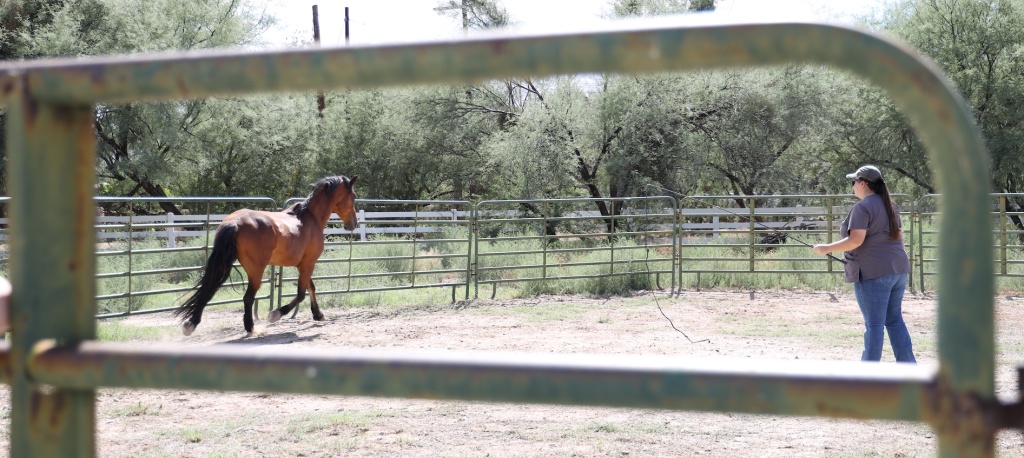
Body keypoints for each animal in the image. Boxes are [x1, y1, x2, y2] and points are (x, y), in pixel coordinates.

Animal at [175, 175, 359, 336]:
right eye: (353, 196)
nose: (353, 224)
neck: (310, 218)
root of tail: (235, 222)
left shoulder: (304, 264)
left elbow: (311, 288)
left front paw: (318, 314)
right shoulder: (309, 264)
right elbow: (301, 294)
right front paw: (275, 314)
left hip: (224, 264)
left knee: (209, 289)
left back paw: (191, 323)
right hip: (256, 271)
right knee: (248, 298)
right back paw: (250, 328)